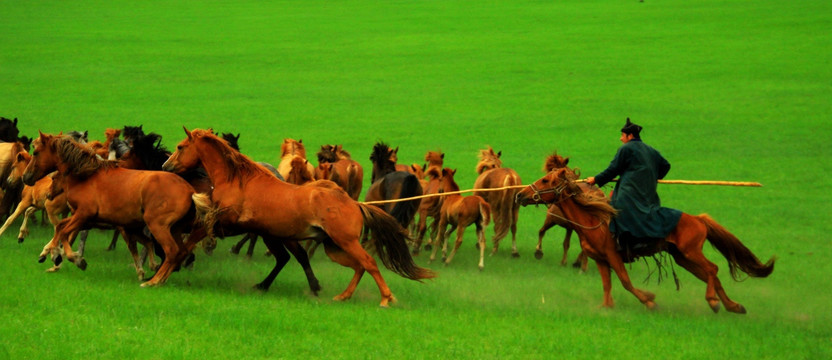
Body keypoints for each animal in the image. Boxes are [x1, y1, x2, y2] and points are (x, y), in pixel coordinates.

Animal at [23, 131, 210, 286]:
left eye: (36, 152)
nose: (26, 177)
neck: (86, 175)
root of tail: (191, 191)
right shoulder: (84, 218)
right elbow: (62, 228)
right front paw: (51, 255)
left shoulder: (84, 214)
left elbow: (64, 232)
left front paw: (76, 259)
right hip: (176, 228)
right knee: (181, 252)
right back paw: (161, 277)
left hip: (158, 226)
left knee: (171, 251)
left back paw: (153, 281)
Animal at [162, 128, 436, 306]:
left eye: (180, 147)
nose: (166, 166)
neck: (237, 180)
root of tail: (353, 203)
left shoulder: (228, 224)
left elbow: (198, 235)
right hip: (333, 247)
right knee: (359, 266)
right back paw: (343, 296)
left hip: (343, 242)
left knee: (369, 263)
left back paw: (385, 298)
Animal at [516, 167, 776, 314]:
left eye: (545, 181)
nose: (519, 194)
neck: (593, 219)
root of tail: (698, 219)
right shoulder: (600, 260)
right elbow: (607, 285)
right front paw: (606, 307)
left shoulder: (613, 256)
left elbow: (625, 282)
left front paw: (649, 301)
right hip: (683, 259)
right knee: (713, 276)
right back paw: (733, 306)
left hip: (691, 252)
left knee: (713, 269)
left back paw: (713, 301)